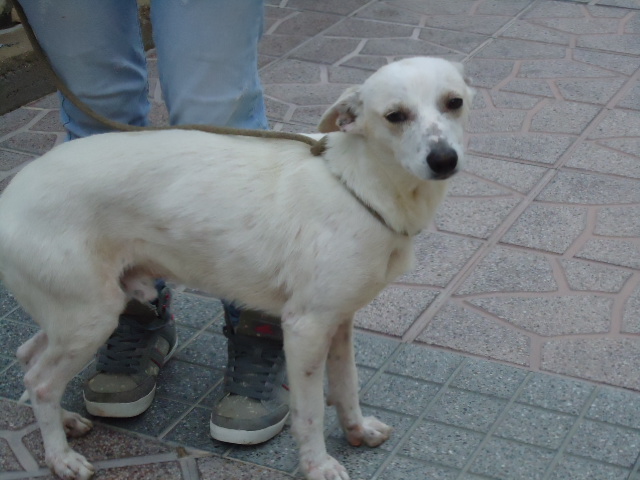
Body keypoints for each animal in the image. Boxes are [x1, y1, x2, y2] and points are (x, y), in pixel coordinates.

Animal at [0, 56, 471, 480]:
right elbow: (310, 413)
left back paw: (63, 421)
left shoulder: (339, 319)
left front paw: (357, 430)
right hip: (90, 316)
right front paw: (317, 465)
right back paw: (60, 457)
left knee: (28, 358)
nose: (444, 159)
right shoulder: (306, 327)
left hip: (76, 313)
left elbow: (346, 385)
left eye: (455, 102)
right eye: (395, 116)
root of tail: (11, 193)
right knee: (42, 382)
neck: (362, 185)